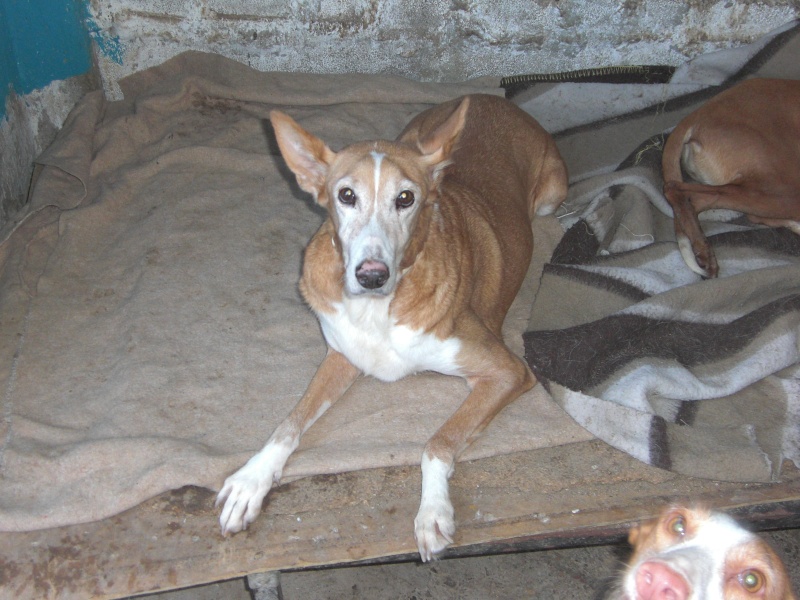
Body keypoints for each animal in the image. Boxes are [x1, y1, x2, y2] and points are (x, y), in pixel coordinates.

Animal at [216, 92, 564, 556]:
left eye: (405, 198)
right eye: (346, 195)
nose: (371, 276)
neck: (376, 311)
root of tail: (492, 98)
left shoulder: (507, 370)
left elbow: (437, 443)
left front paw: (433, 511)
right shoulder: (341, 355)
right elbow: (288, 422)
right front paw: (251, 480)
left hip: (550, 194)